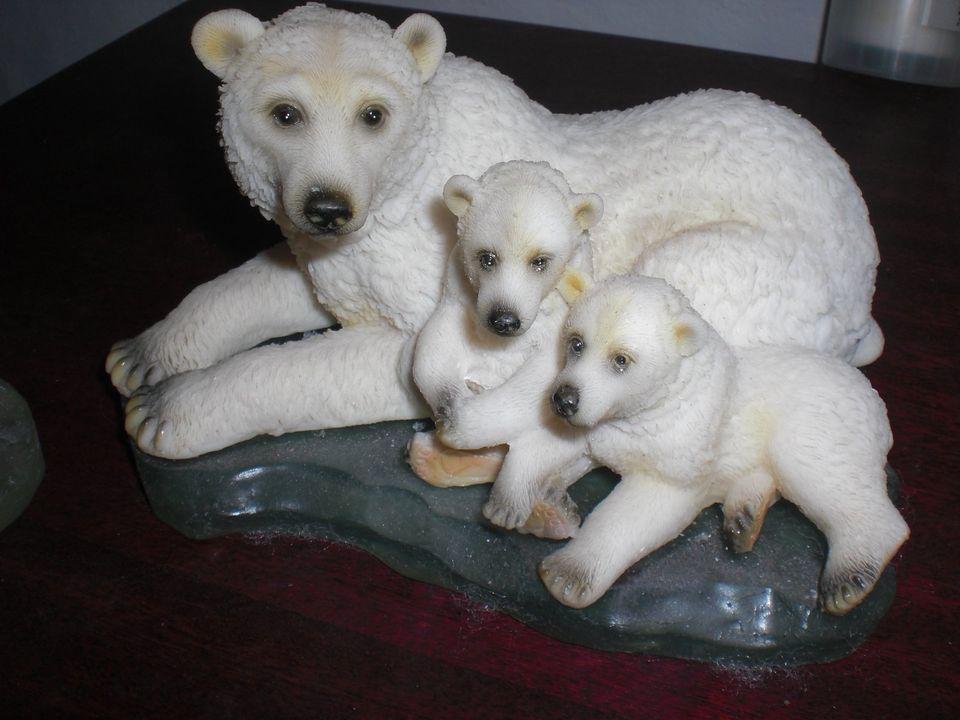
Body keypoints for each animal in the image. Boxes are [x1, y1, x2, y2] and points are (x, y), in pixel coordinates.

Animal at [107, 2, 884, 458]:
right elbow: (286, 283)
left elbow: (388, 360)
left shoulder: (432, 263)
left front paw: (168, 412)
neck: (414, 173)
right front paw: (143, 358)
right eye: (285, 113)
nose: (328, 205)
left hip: (760, 267)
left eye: (372, 114)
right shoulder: (353, 249)